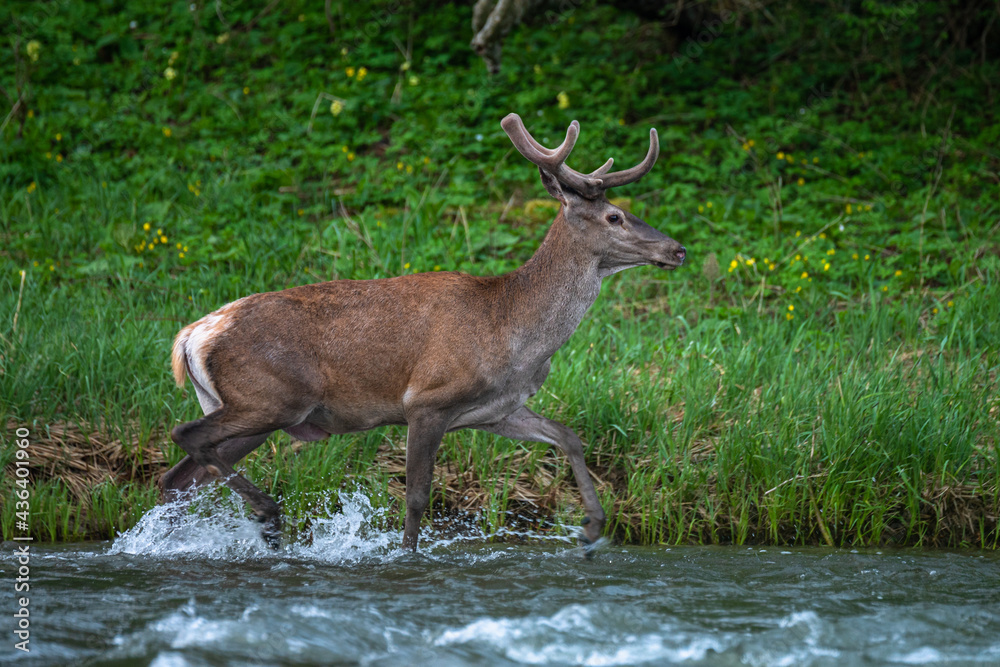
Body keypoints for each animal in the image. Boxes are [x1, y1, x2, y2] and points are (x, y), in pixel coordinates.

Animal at [160, 115, 684, 552]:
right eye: (614, 217)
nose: (677, 249)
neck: (512, 331)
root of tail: (191, 335)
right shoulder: (427, 401)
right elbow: (416, 497)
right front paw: (407, 554)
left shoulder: (494, 410)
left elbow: (567, 434)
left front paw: (593, 526)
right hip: (271, 397)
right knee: (185, 435)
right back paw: (268, 514)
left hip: (254, 408)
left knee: (179, 477)